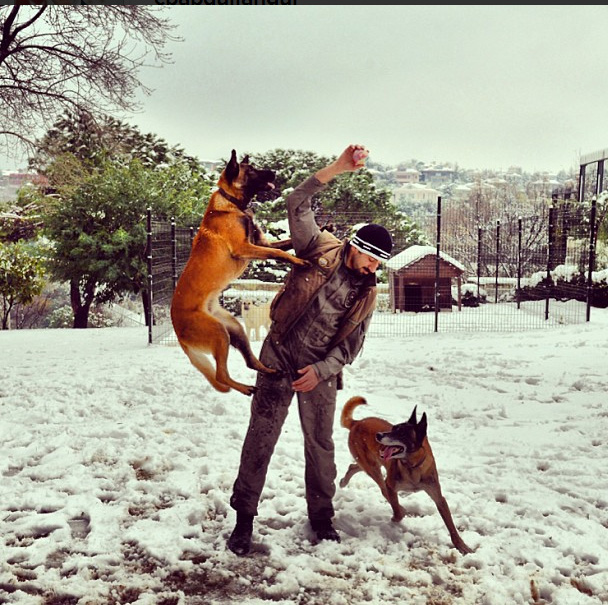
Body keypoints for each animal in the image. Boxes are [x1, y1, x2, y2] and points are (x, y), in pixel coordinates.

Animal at [171, 150, 312, 396]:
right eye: (252, 170)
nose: (274, 172)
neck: (232, 204)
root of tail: (177, 330)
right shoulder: (245, 248)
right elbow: (278, 252)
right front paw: (299, 261)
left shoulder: (260, 242)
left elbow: (284, 244)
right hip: (219, 333)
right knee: (221, 375)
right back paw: (246, 388)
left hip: (234, 329)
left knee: (250, 362)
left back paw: (270, 371)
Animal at [340, 394, 472, 556]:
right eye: (393, 428)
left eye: (402, 433)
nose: (379, 435)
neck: (412, 465)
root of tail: (357, 422)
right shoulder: (391, 484)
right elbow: (395, 506)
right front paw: (397, 515)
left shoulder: (438, 496)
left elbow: (450, 525)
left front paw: (462, 545)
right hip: (373, 468)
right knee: (382, 488)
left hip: (369, 463)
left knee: (354, 466)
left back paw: (343, 480)